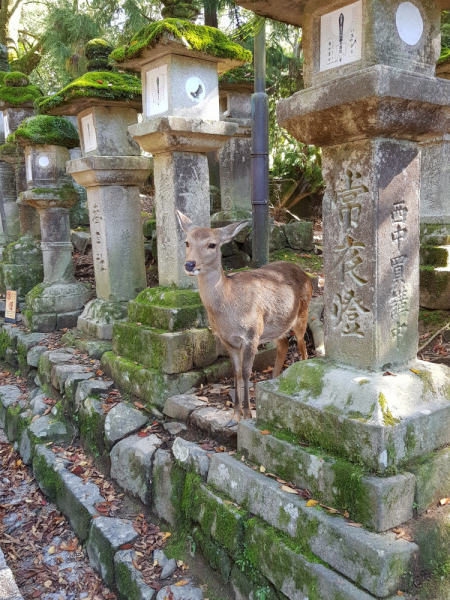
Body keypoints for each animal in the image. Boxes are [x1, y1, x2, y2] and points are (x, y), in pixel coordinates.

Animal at [177, 211, 312, 426]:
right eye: (187, 242)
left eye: (212, 244)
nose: (190, 264)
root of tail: (306, 274)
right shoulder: (227, 340)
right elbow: (237, 372)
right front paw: (234, 417)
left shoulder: (251, 335)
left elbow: (248, 372)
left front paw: (247, 415)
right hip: (272, 327)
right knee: (283, 343)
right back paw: (273, 381)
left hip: (301, 315)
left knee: (302, 346)